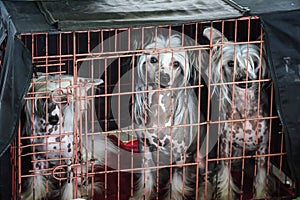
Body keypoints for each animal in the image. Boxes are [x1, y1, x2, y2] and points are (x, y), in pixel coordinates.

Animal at [132, 33, 210, 200]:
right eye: (153, 60)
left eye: (175, 64)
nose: (164, 78)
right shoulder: (145, 150)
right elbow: (146, 179)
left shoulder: (181, 157)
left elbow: (176, 185)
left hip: (200, 158)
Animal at [204, 27, 270, 199]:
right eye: (231, 63)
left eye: (254, 63)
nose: (244, 80)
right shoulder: (225, 148)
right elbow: (225, 180)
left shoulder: (262, 150)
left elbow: (261, 180)